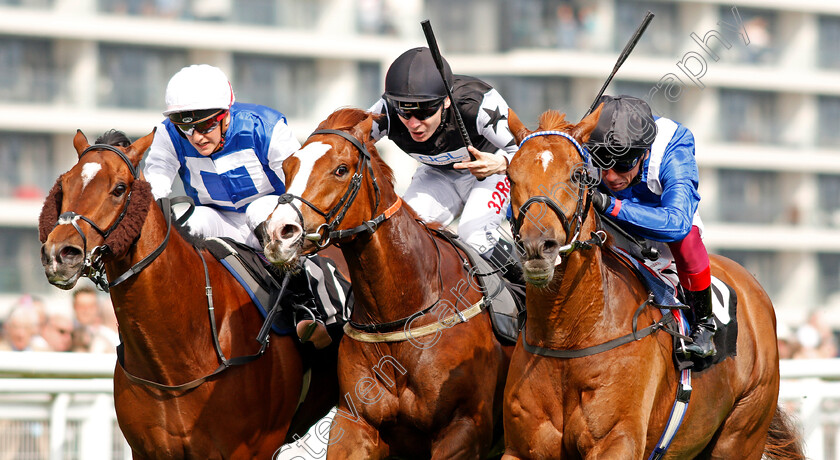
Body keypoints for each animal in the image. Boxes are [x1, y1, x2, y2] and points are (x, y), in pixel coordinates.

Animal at [262, 108, 512, 460]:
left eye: (341, 169)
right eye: (287, 167)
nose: (277, 233)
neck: (402, 309)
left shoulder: (464, 428)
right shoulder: (355, 424)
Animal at [498, 108, 800, 460]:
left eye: (577, 175)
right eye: (510, 175)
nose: (537, 246)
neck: (567, 337)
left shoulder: (618, 441)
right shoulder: (520, 448)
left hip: (742, 433)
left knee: (683, 231)